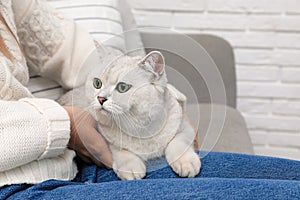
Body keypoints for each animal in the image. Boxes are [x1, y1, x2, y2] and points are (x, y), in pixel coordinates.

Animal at [60, 50, 200, 180]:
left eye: (122, 87)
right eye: (97, 83)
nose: (100, 98)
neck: (141, 127)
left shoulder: (184, 126)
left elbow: (178, 142)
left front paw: (186, 163)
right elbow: (118, 148)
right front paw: (131, 167)